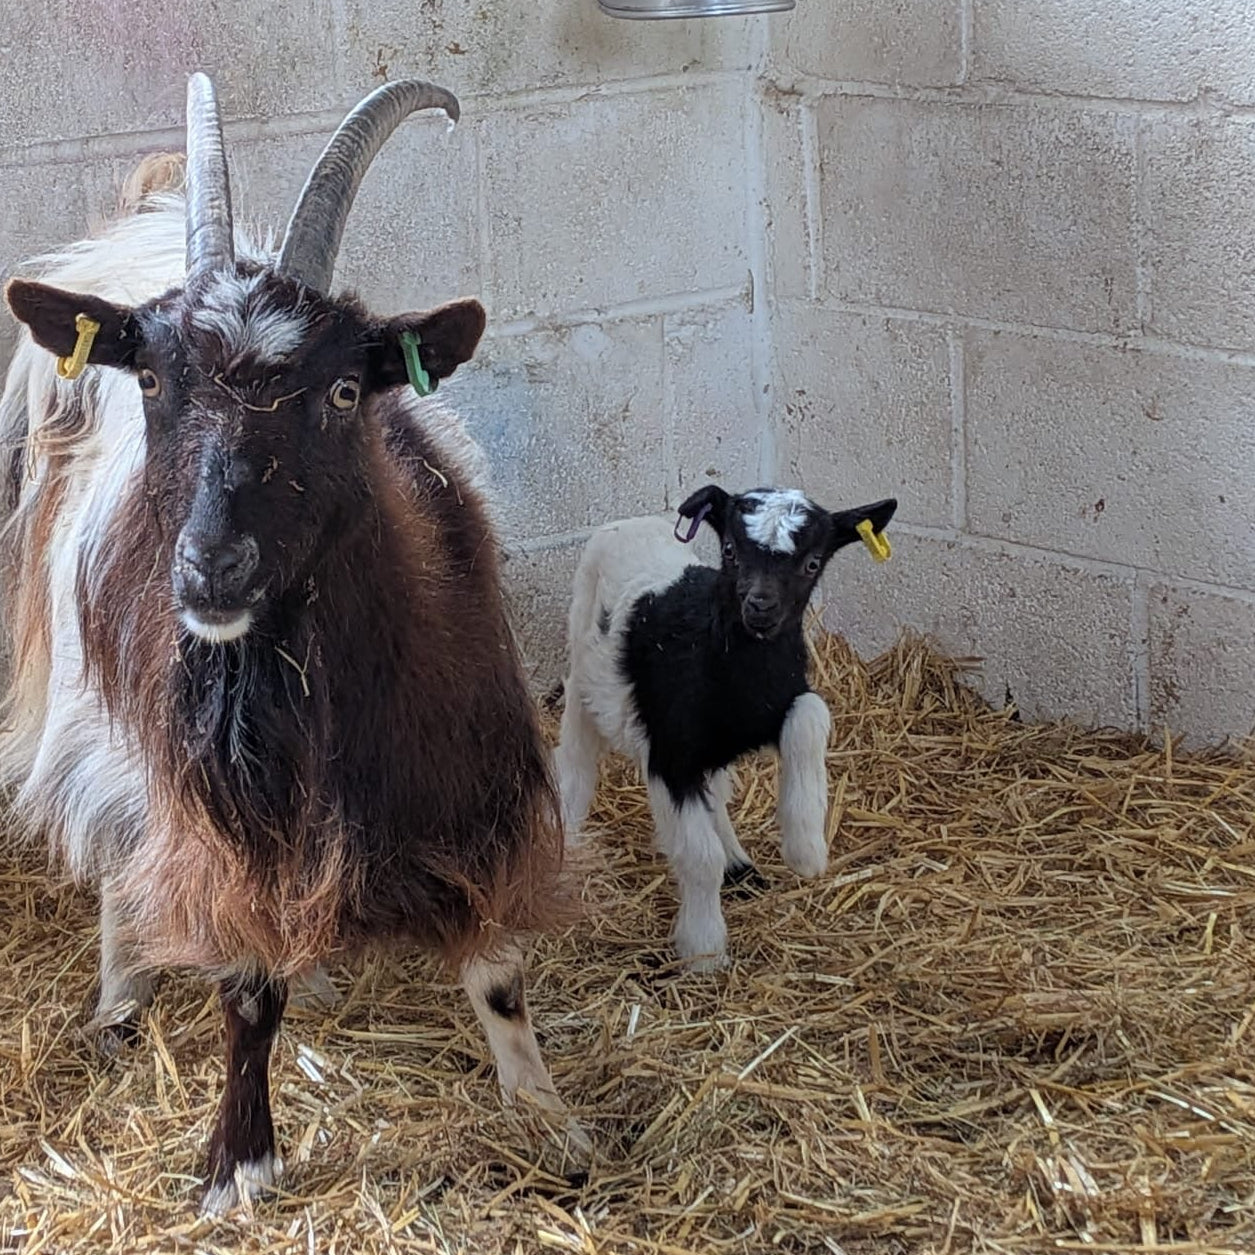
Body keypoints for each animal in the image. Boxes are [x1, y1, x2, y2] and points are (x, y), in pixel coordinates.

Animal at [1, 74, 583, 1213]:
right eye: (153, 385)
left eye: (344, 390)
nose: (210, 569)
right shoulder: (230, 824)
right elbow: (245, 987)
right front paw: (238, 1161)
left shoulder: (471, 780)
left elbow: (497, 969)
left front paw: (546, 1116)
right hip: (94, 716)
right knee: (115, 848)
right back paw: (119, 998)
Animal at [553, 484, 896, 970]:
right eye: (731, 551)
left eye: (812, 563)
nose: (760, 606)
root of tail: (630, 522)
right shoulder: (672, 755)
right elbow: (699, 858)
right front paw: (704, 950)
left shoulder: (781, 698)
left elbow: (811, 717)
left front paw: (806, 849)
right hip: (584, 666)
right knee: (575, 762)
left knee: (714, 791)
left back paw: (740, 862)